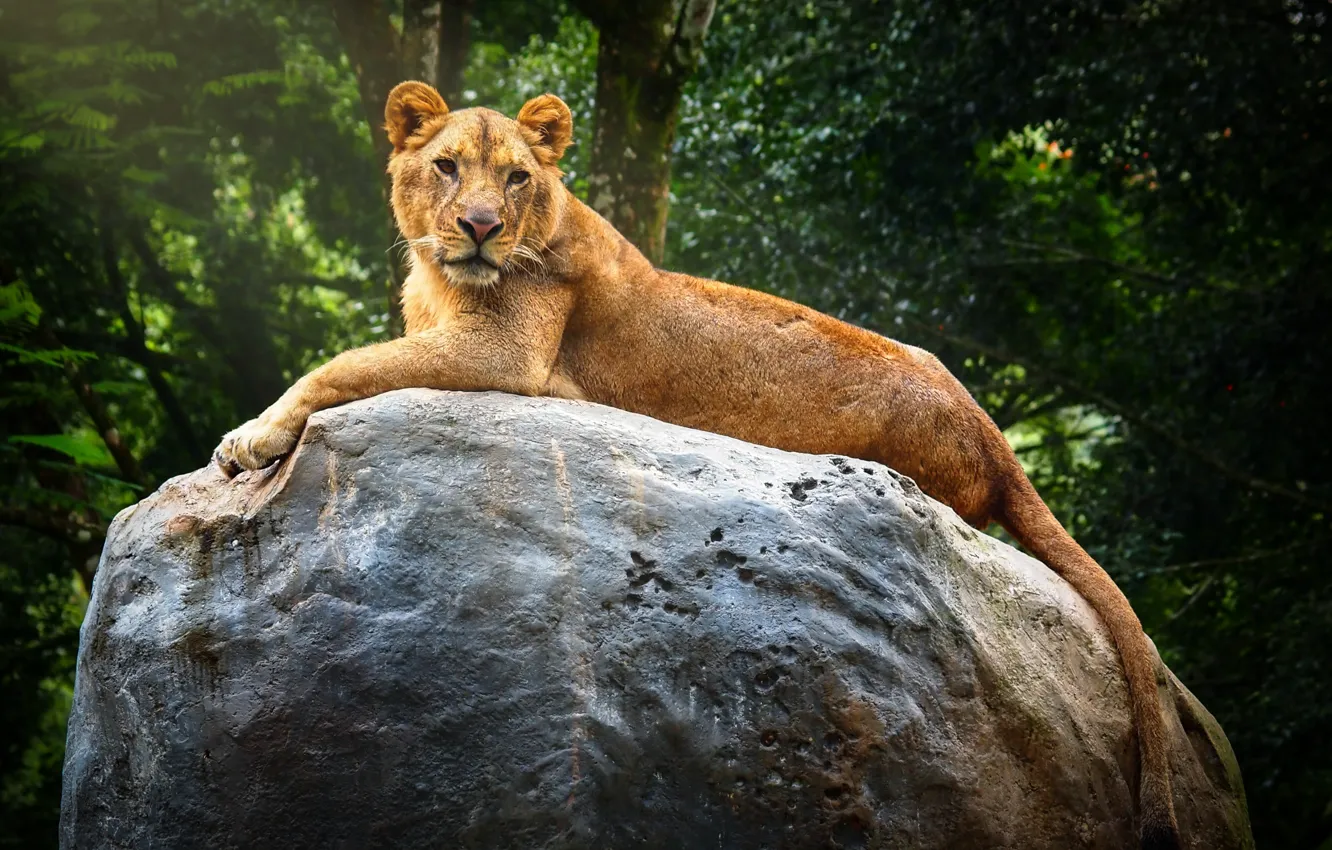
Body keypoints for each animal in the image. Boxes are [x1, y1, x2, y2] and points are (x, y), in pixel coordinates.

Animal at [213, 81, 1180, 850]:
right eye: (447, 167)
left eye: (516, 178)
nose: (480, 228)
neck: (446, 278)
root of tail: (991, 432)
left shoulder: (506, 356)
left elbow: (341, 365)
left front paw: (250, 439)